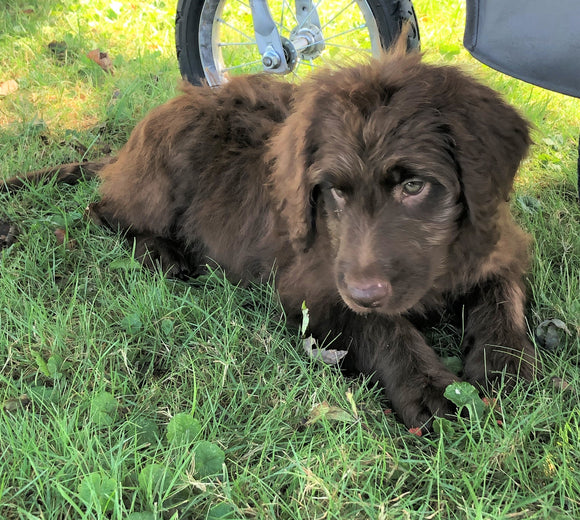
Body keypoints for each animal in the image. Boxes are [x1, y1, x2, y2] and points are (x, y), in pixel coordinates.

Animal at [4, 50, 540, 430]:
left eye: (414, 186)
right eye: (334, 192)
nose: (365, 292)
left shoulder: (496, 246)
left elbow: (503, 297)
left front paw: (503, 364)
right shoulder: (313, 288)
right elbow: (381, 327)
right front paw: (427, 387)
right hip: (163, 170)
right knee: (103, 209)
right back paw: (161, 253)